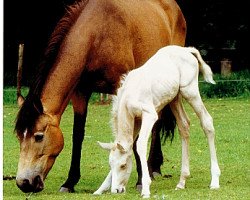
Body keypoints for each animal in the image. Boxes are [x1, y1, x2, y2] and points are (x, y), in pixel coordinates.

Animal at [14, 0, 186, 194]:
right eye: (19, 137)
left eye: (39, 136)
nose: (24, 182)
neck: (97, 35)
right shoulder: (80, 93)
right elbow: (78, 135)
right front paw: (70, 182)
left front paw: (141, 180)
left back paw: (152, 168)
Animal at [94, 45, 221, 197]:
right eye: (111, 165)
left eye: (123, 165)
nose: (117, 190)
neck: (128, 97)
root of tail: (187, 50)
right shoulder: (136, 121)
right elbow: (130, 144)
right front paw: (100, 189)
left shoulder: (149, 115)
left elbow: (140, 144)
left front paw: (145, 189)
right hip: (175, 98)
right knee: (184, 125)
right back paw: (181, 182)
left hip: (190, 91)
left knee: (207, 122)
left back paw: (215, 181)